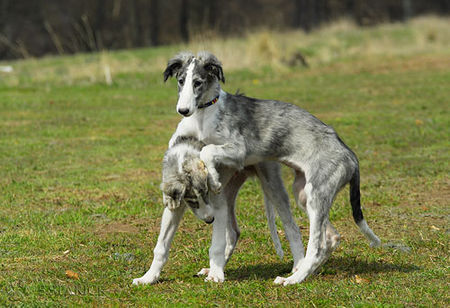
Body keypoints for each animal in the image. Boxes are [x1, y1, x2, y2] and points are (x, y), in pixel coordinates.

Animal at [132, 135, 304, 286]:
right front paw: (148, 277)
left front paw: (216, 275)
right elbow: (161, 246)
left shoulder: (218, 206)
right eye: (192, 201)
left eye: (206, 193)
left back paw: (298, 267)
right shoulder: (175, 207)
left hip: (271, 186)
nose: (209, 220)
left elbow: (216, 245)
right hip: (229, 192)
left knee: (292, 227)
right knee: (234, 232)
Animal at [157, 51, 380, 286]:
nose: (183, 110)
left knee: (314, 246)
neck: (204, 115)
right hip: (303, 193)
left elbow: (207, 150)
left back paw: (292, 279)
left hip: (314, 194)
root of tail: (350, 155)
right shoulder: (180, 138)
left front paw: (215, 179)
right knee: (331, 237)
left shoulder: (238, 150)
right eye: (181, 81)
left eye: (198, 82)